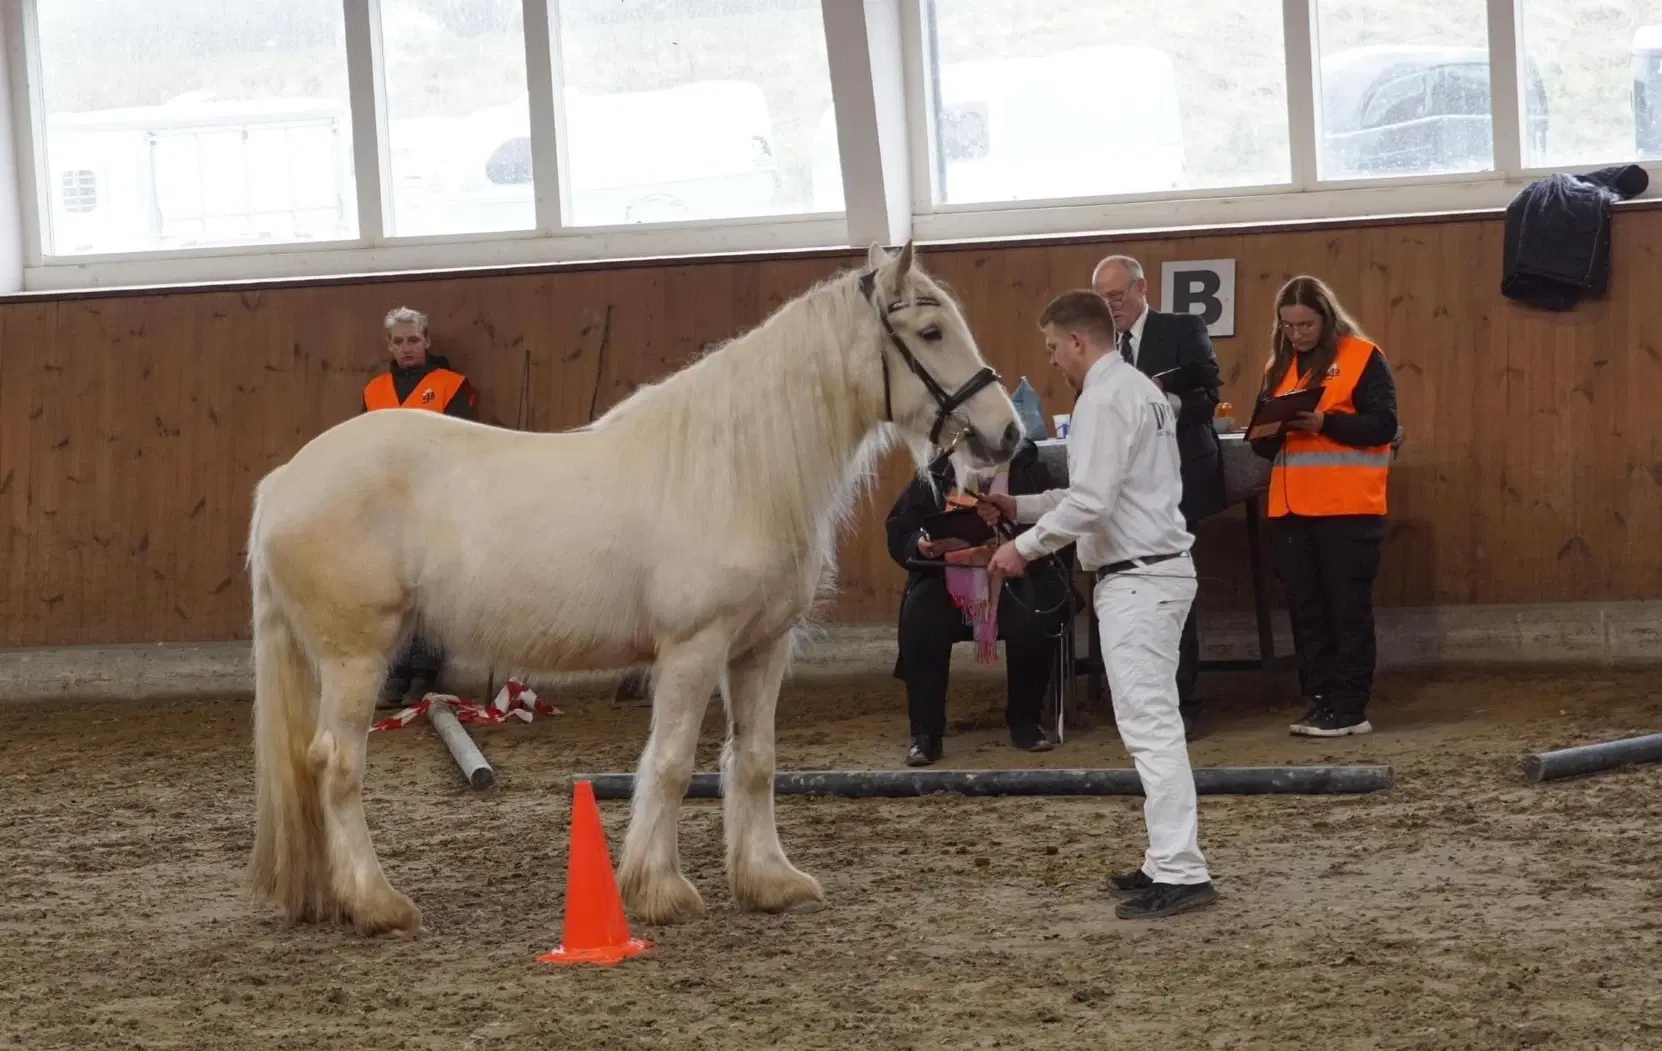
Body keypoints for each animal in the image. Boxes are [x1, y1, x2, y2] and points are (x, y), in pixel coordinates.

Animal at [242, 242, 1023, 931]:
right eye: (930, 331)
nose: (1007, 434)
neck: (735, 468)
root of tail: (284, 481)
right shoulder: (693, 649)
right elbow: (672, 763)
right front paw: (659, 889)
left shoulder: (760, 648)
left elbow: (755, 761)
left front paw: (769, 880)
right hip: (356, 656)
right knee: (337, 764)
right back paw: (377, 903)